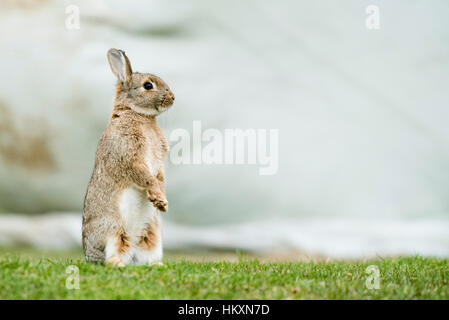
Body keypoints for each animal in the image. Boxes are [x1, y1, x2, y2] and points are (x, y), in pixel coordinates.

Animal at [83, 48, 174, 266]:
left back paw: (157, 264)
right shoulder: (130, 157)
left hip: (152, 237)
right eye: (148, 85)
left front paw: (162, 202)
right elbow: (146, 177)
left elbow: (159, 178)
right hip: (112, 231)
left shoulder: (159, 164)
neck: (139, 115)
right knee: (109, 258)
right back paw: (118, 263)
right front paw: (158, 199)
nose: (173, 97)